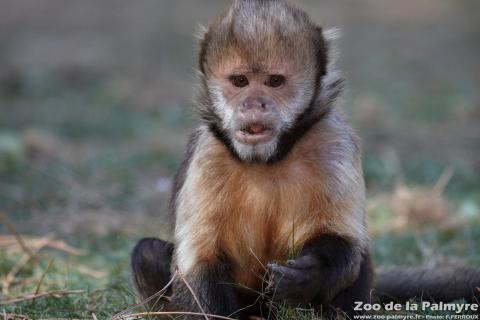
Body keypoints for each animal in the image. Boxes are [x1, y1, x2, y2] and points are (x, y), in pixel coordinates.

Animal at [131, 0, 480, 318]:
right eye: (240, 81)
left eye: (274, 81)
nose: (253, 104)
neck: (267, 160)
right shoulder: (209, 155)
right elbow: (200, 264)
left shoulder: (332, 141)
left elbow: (344, 243)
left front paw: (308, 273)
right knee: (146, 253)